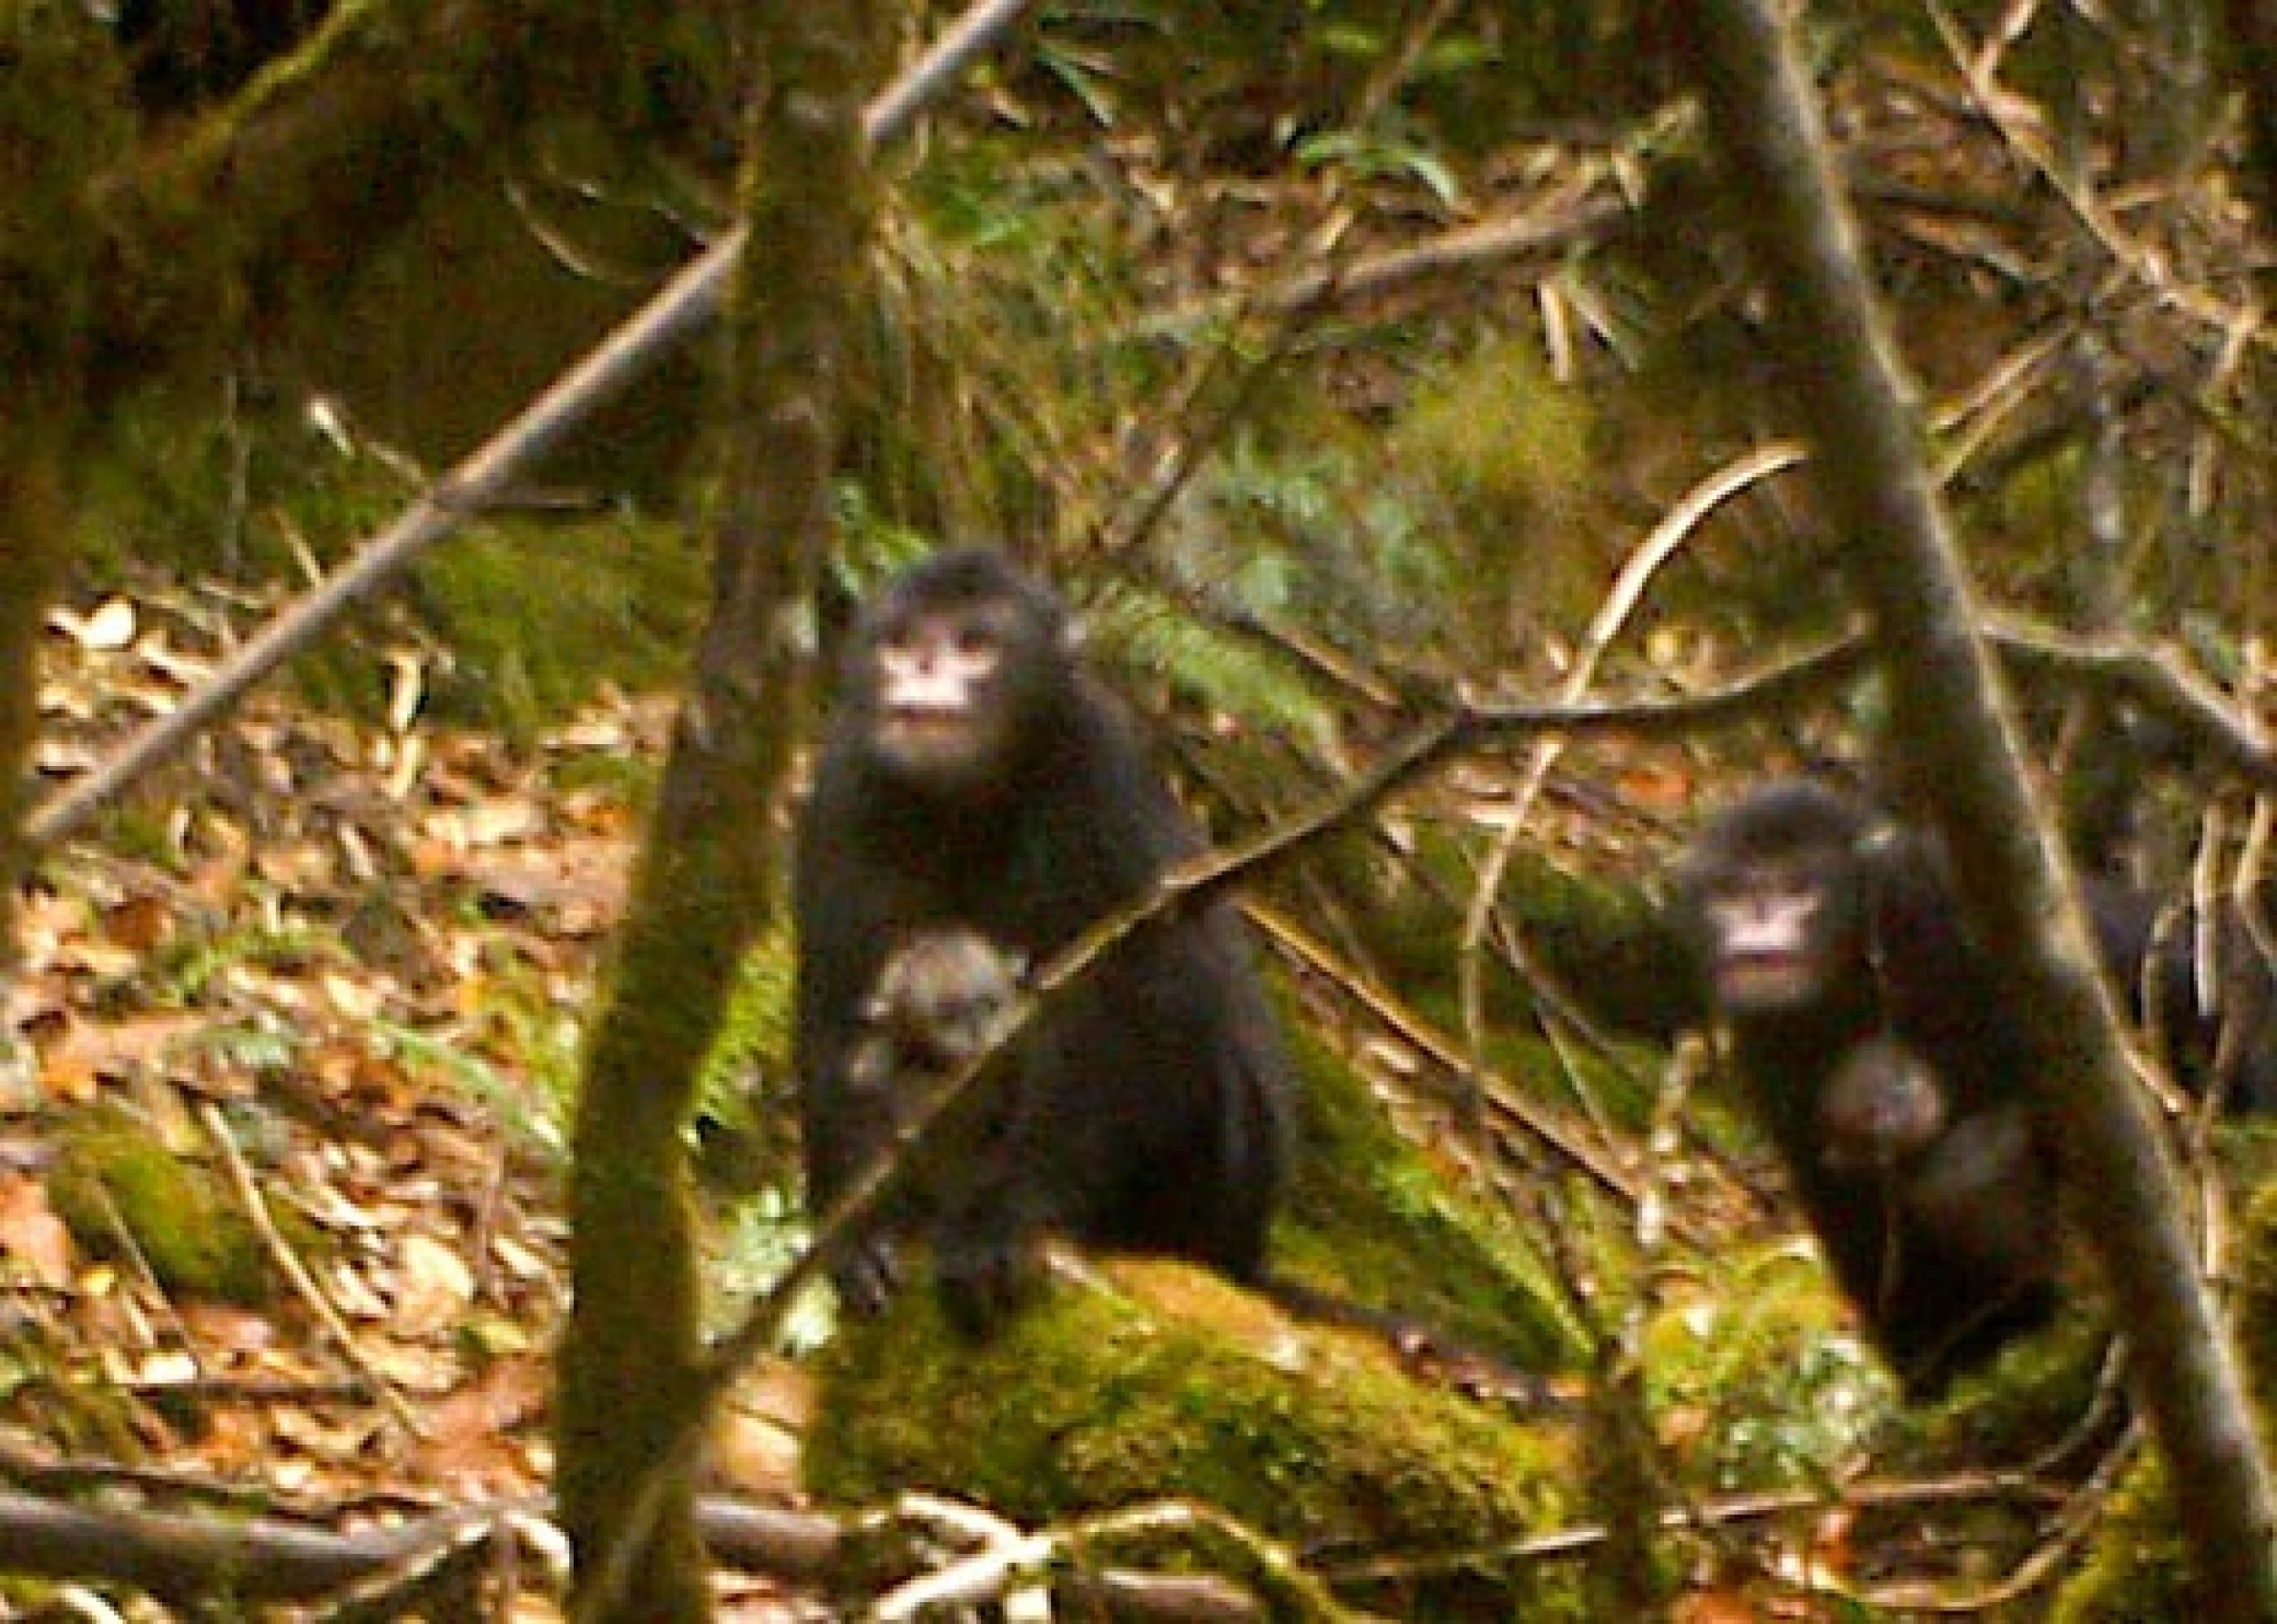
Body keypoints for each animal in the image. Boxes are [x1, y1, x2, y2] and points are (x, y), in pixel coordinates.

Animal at [792, 544, 1293, 1330]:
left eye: (974, 644)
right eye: (901, 642)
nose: (920, 676)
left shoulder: (1099, 776)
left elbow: (1133, 1009)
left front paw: (1002, 1221)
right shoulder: (845, 782)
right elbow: (842, 1007)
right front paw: (858, 1231)